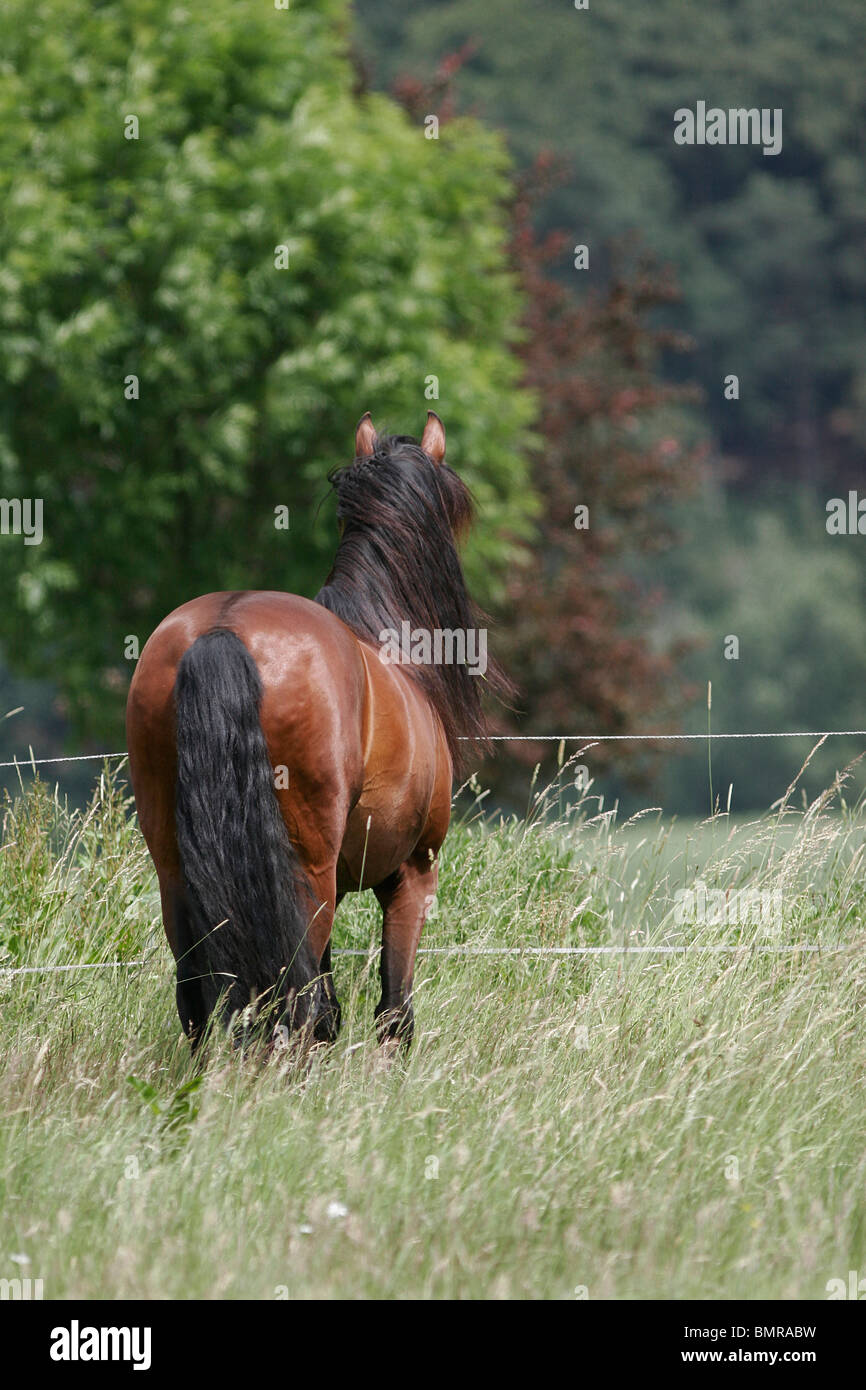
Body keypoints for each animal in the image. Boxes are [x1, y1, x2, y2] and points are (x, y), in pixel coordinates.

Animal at [127, 411, 508, 1050]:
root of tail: (221, 630)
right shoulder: (412, 876)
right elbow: (393, 1012)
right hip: (309, 878)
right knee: (297, 1009)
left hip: (179, 874)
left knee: (201, 1005)